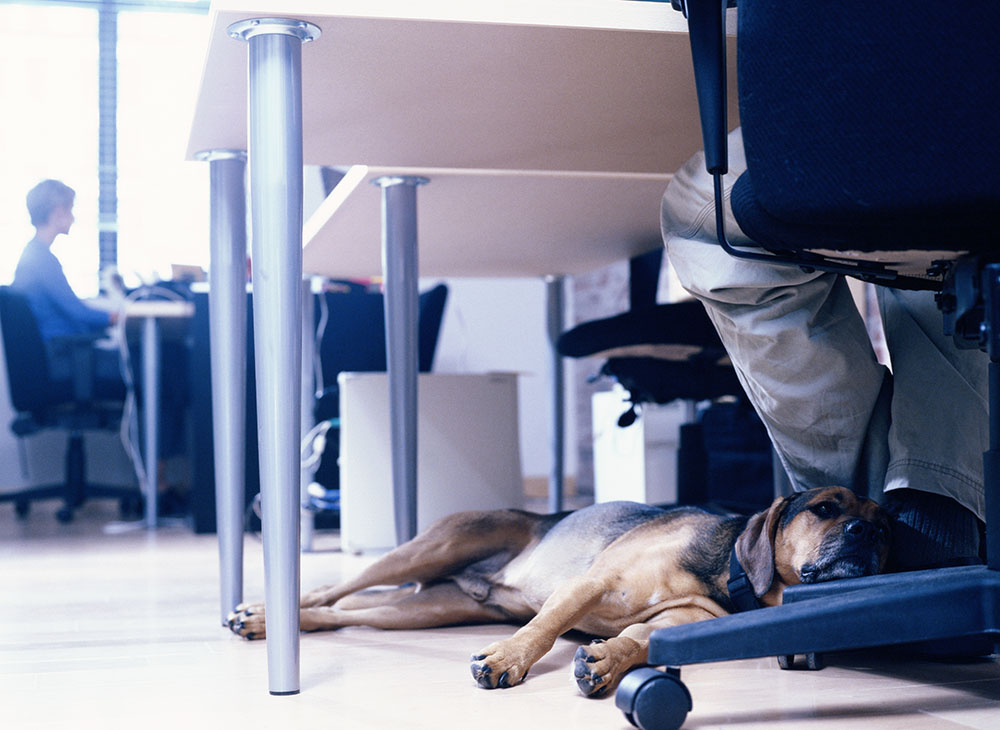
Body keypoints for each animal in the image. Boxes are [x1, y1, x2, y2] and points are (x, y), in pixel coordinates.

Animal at [229, 484, 892, 692]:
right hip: (431, 548)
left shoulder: (682, 623)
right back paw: (261, 612)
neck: (724, 576)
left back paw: (267, 622)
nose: (866, 533)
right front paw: (508, 660)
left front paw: (605, 661)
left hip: (425, 608)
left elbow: (640, 640)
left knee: (345, 613)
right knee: (333, 590)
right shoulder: (590, 583)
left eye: (888, 527)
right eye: (826, 508)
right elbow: (545, 628)